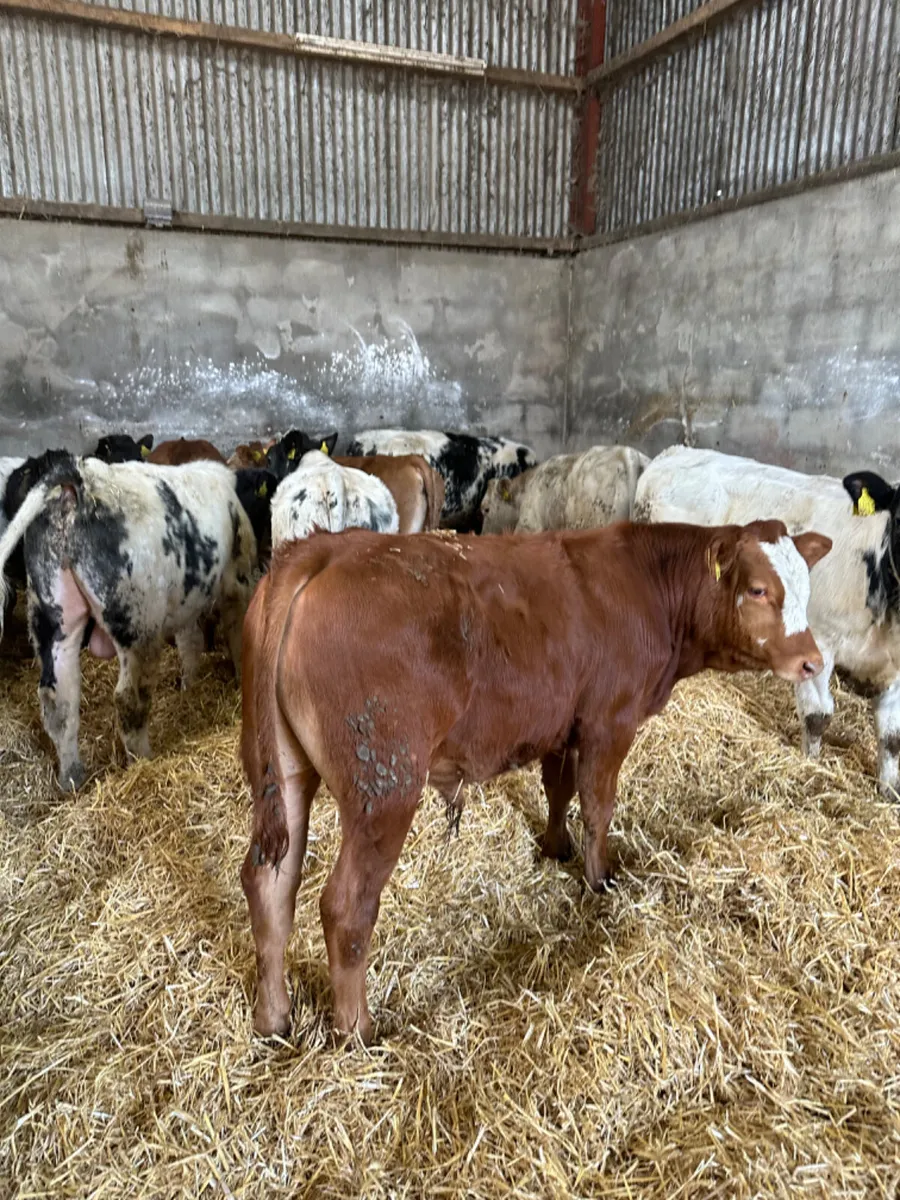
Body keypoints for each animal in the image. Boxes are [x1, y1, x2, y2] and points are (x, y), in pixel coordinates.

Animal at [0, 455, 258, 789]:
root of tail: (77, 481)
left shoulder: (186, 602)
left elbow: (190, 642)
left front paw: (189, 685)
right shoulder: (237, 581)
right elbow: (236, 633)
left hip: (53, 617)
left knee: (58, 700)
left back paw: (71, 779)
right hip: (137, 622)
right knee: (128, 698)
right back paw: (143, 760)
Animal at [240, 519, 831, 1042]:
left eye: (807, 584)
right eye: (758, 588)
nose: (812, 661)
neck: (647, 585)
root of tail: (325, 551)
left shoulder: (563, 725)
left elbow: (559, 790)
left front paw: (555, 846)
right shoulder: (609, 722)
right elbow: (597, 805)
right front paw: (599, 878)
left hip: (285, 772)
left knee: (270, 885)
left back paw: (274, 1019)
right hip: (384, 788)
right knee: (345, 908)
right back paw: (357, 1031)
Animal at [634, 446, 900, 796]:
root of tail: (674, 452)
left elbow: (891, 734)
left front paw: (889, 788)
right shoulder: (821, 639)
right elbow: (817, 715)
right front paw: (811, 764)